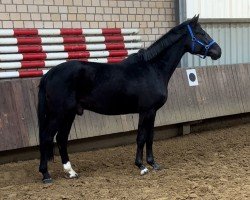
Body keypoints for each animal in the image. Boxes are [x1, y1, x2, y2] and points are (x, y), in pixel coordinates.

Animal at [37, 16, 221, 184]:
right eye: (201, 33)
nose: (218, 51)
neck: (152, 69)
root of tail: (49, 74)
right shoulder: (146, 111)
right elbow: (141, 137)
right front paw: (141, 166)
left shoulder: (152, 112)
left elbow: (150, 136)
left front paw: (153, 163)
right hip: (58, 114)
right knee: (47, 138)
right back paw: (46, 175)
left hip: (69, 114)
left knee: (61, 139)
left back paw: (71, 172)